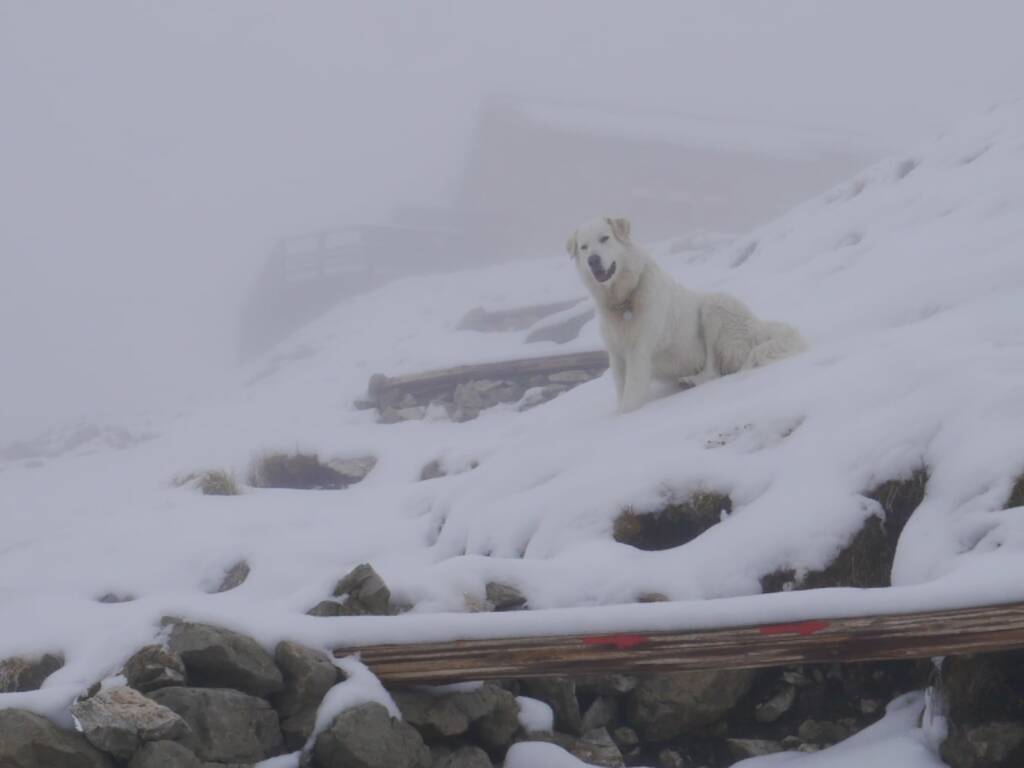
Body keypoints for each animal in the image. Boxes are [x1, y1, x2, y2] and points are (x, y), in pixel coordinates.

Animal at [565, 217, 802, 415]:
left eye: (604, 238)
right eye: (584, 247)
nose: (593, 260)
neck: (624, 300)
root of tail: (755, 324)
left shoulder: (639, 353)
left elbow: (630, 399)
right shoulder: (617, 356)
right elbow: (622, 391)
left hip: (713, 308)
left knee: (713, 369)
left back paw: (692, 380)